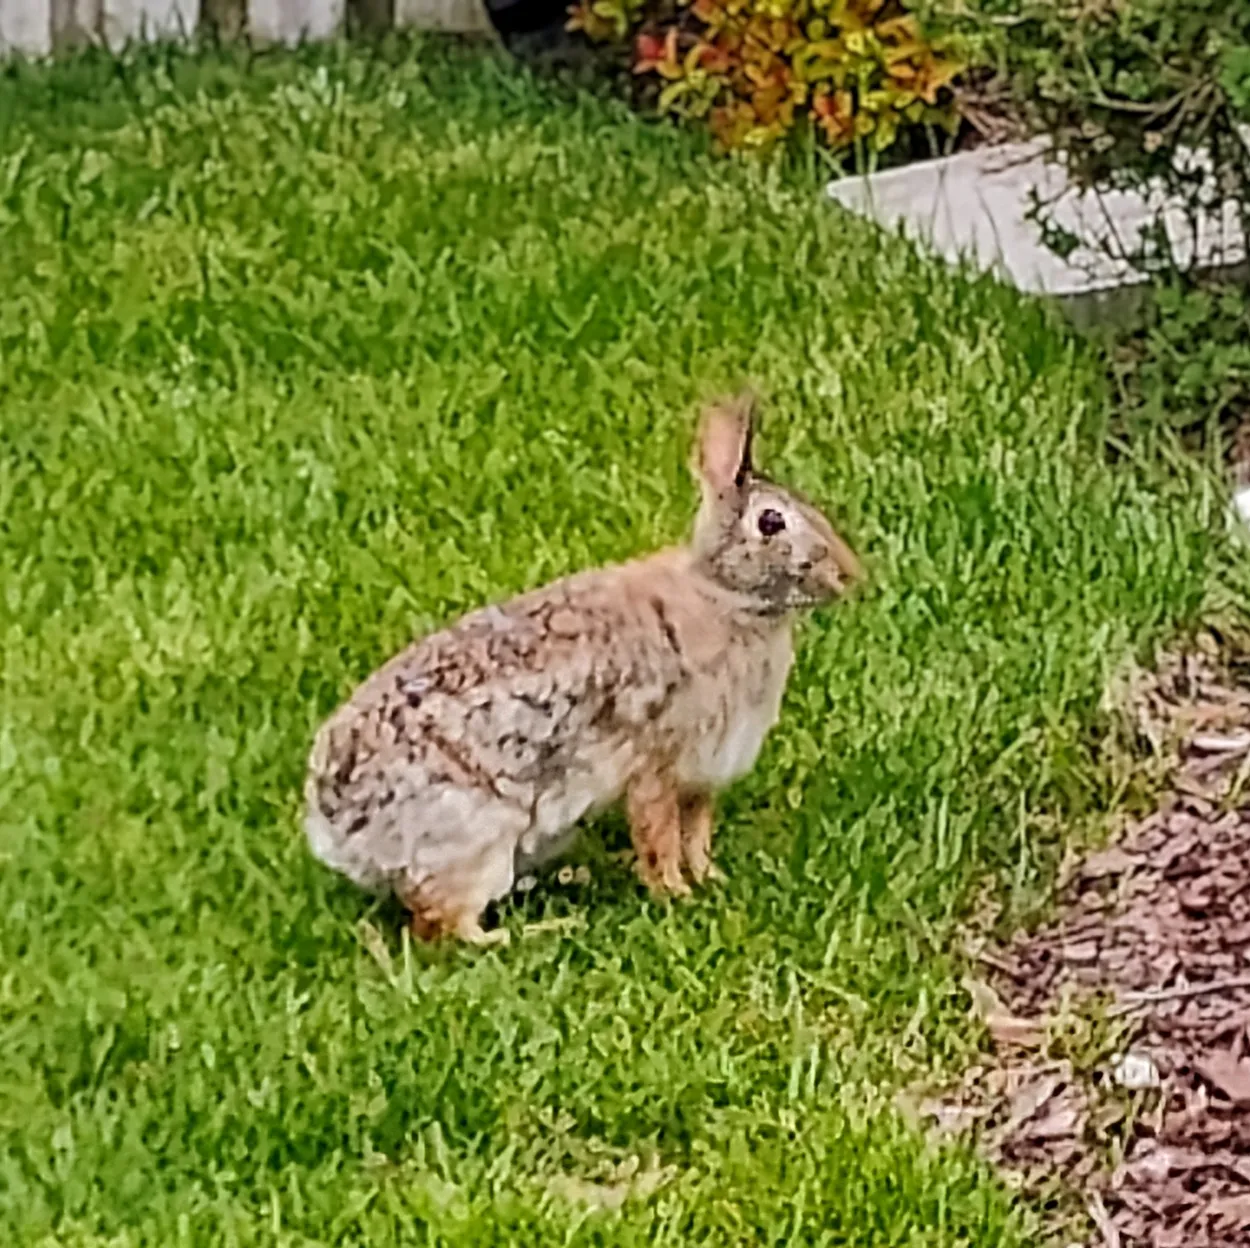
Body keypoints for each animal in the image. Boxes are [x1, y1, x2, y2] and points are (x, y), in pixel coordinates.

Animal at [305, 393, 862, 945]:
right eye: (771, 522)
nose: (850, 575)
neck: (725, 597)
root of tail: (336, 832)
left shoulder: (701, 777)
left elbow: (696, 835)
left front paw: (711, 880)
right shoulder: (656, 764)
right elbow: (659, 837)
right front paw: (675, 895)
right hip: (476, 839)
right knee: (445, 927)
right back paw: (541, 930)